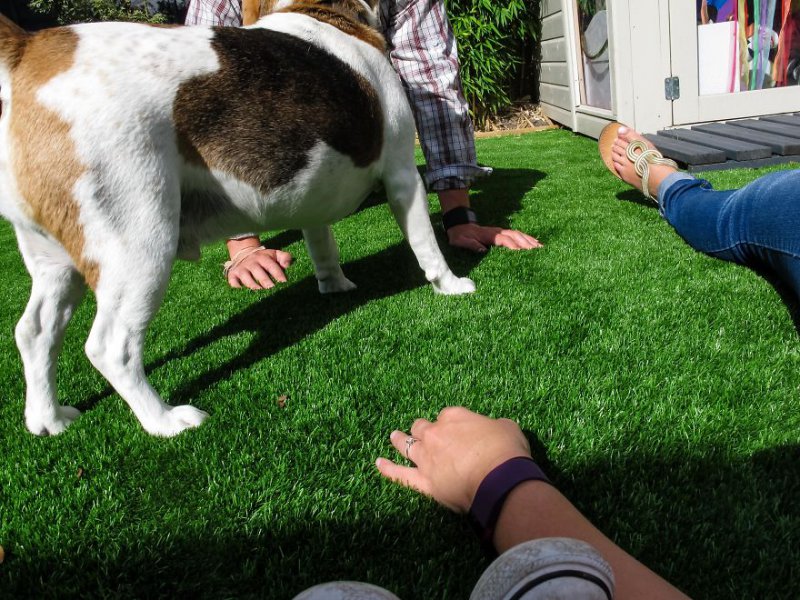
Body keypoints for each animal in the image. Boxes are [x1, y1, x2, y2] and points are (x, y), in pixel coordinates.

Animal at [0, 2, 476, 438]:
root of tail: (27, 48)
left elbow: (322, 244)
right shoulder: (402, 173)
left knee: (34, 332)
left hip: (55, 259)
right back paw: (165, 420)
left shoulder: (312, 194)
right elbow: (426, 245)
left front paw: (335, 285)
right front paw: (451, 285)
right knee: (110, 347)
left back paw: (49, 419)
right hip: (140, 244)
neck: (322, 12)